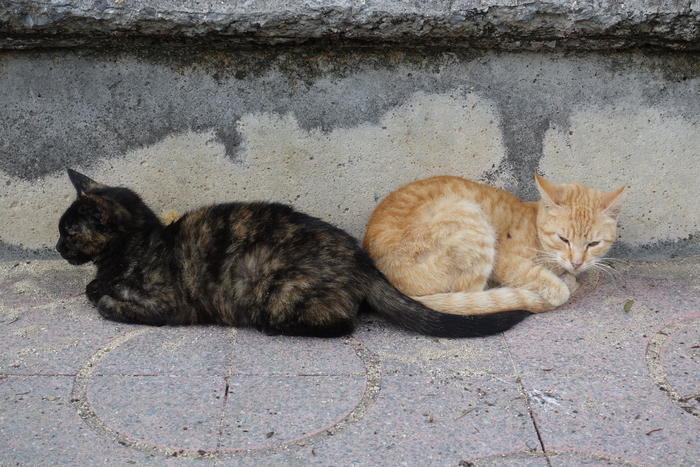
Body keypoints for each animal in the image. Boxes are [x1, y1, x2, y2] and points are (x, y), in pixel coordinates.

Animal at [56, 170, 532, 338]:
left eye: (68, 230)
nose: (58, 247)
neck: (138, 245)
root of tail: (364, 263)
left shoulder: (169, 306)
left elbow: (107, 302)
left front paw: (103, 297)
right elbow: (95, 288)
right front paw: (96, 286)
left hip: (280, 288)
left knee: (341, 325)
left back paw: (273, 328)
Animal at [364, 176, 628, 314]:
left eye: (593, 243)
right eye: (563, 239)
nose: (577, 262)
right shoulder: (506, 260)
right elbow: (542, 278)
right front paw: (561, 285)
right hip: (471, 220)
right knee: (472, 298)